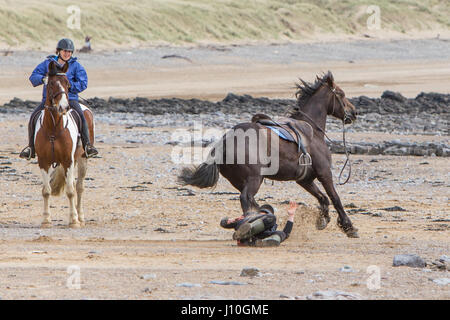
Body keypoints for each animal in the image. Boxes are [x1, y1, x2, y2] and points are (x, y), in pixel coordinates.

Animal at [34, 60, 95, 228]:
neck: (53, 128)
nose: (64, 107)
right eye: (51, 84)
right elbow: (46, 190)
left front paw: (73, 220)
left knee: (79, 187)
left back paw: (80, 217)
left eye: (68, 84)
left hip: (81, 159)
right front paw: (46, 220)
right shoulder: (44, 162)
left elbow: (70, 191)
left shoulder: (68, 160)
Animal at [179, 72, 358, 238]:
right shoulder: (324, 172)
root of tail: (224, 141)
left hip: (239, 181)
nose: (354, 112)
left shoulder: (305, 179)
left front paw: (323, 219)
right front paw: (348, 227)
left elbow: (323, 198)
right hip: (254, 179)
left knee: (250, 201)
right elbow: (335, 198)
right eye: (341, 93)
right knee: (246, 199)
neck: (312, 130)